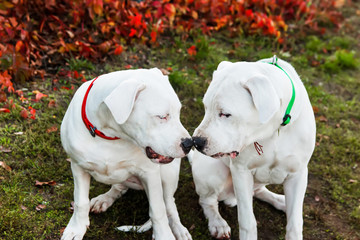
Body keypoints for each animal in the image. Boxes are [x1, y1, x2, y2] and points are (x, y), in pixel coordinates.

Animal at [61, 67, 194, 240]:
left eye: (178, 113)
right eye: (162, 116)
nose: (189, 143)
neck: (109, 136)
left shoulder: (150, 173)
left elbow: (158, 209)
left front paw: (164, 235)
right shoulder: (78, 167)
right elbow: (80, 201)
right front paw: (77, 228)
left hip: (168, 174)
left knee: (169, 204)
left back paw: (178, 228)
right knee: (119, 187)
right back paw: (104, 199)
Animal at [191, 56, 316, 240]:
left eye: (225, 114)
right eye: (206, 108)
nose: (196, 141)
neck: (274, 131)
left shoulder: (298, 174)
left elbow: (295, 224)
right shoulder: (241, 171)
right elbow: (247, 222)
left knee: (259, 191)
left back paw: (281, 201)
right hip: (214, 172)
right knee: (207, 201)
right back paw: (218, 223)